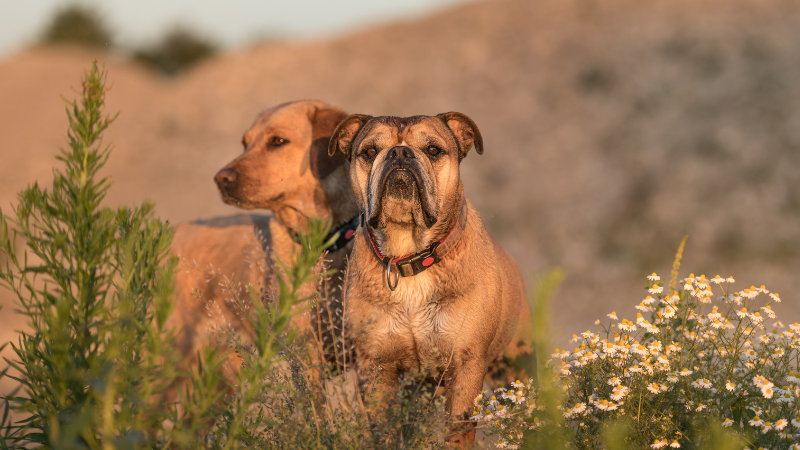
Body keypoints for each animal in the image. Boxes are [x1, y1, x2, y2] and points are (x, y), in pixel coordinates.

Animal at [167, 100, 358, 378]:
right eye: (245, 143)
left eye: (278, 141)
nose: (220, 179)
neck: (322, 245)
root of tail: (175, 229)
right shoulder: (306, 358)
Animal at [328, 111, 528, 446]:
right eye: (369, 151)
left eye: (433, 150)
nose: (399, 153)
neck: (409, 257)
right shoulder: (376, 367)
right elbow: (383, 431)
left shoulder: (465, 364)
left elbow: (458, 431)